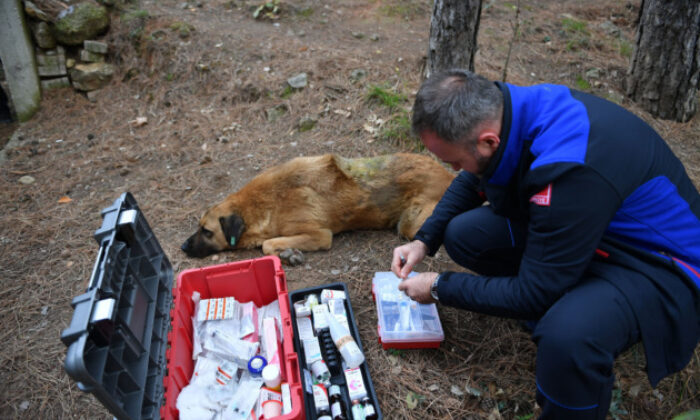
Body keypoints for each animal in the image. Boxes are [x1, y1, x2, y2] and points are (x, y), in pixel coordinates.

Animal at [180, 153, 454, 264]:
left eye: (206, 231)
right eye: (198, 227)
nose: (182, 247)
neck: (264, 203)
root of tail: (449, 175)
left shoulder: (320, 234)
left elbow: (267, 245)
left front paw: (288, 253)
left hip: (410, 224)